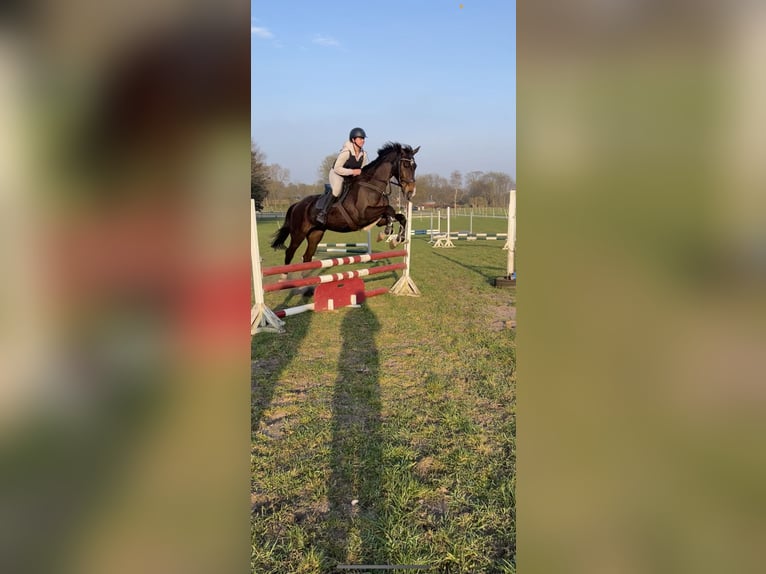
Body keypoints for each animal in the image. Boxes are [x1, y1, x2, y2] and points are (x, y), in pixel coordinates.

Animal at [271, 142, 420, 265]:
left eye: (415, 166)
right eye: (406, 165)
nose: (411, 192)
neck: (372, 186)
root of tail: (297, 205)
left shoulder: (375, 218)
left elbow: (400, 216)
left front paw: (396, 239)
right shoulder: (362, 215)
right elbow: (389, 209)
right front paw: (388, 232)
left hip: (315, 233)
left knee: (307, 256)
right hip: (299, 233)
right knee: (290, 252)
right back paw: (285, 279)